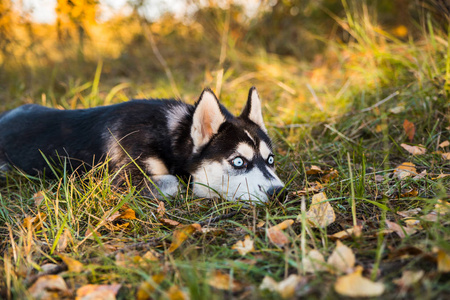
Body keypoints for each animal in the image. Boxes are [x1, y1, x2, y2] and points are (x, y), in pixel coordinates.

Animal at [0, 88, 284, 203]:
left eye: (270, 160)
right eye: (238, 162)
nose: (279, 193)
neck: (167, 134)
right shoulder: (120, 181)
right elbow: (176, 182)